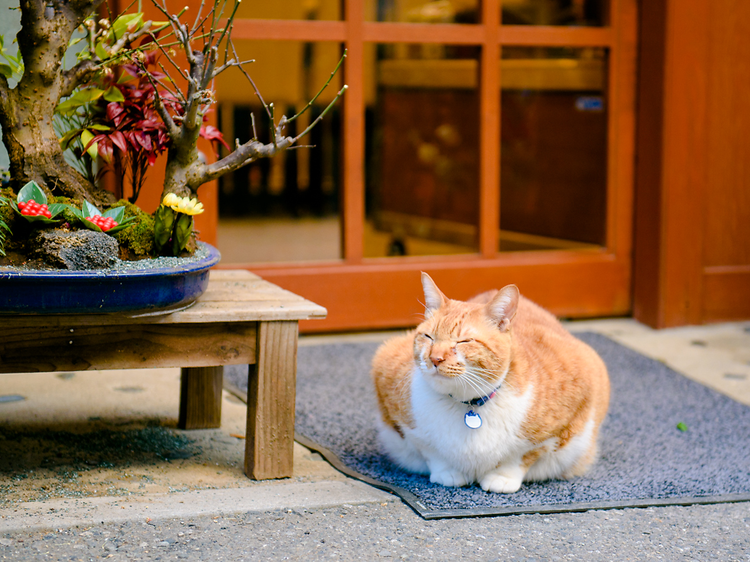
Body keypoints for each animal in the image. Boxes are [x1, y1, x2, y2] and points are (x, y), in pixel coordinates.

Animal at [370, 274, 612, 492]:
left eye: (464, 341)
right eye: (428, 337)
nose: (435, 358)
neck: (468, 404)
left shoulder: (579, 389)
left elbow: (523, 455)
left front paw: (503, 477)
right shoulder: (394, 395)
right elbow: (430, 451)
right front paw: (447, 472)